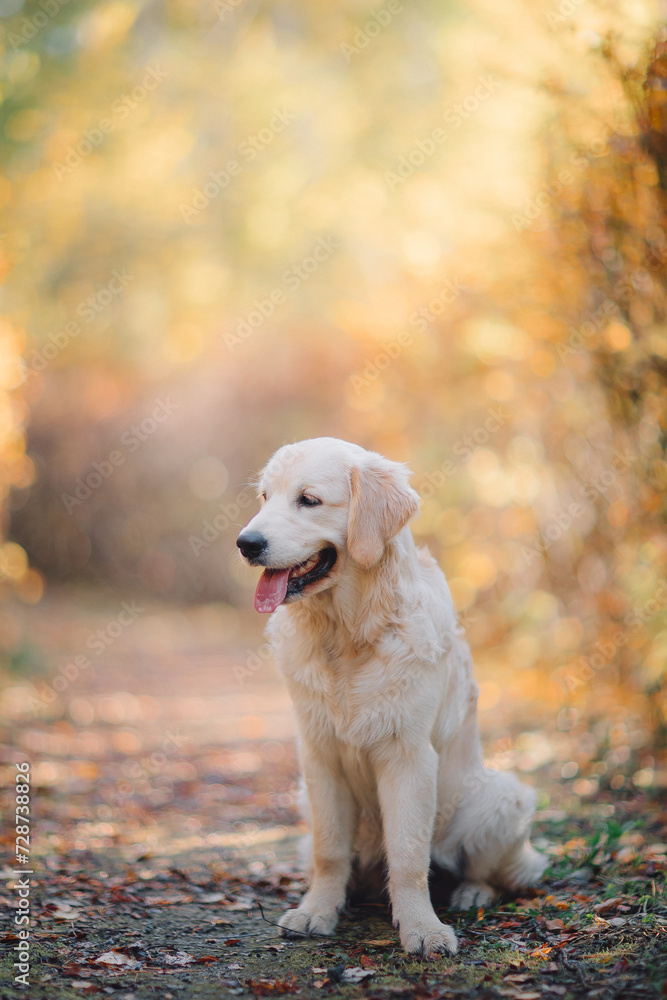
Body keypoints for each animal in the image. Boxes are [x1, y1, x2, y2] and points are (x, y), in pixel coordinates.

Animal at [237, 438, 544, 952]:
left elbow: (407, 857)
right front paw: (317, 911)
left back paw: (471, 893)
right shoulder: (319, 756)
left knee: (491, 872)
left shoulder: (409, 757)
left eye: (309, 500)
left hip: (501, 797)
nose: (246, 543)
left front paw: (422, 929)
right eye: (264, 498)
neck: (348, 637)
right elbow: (329, 851)